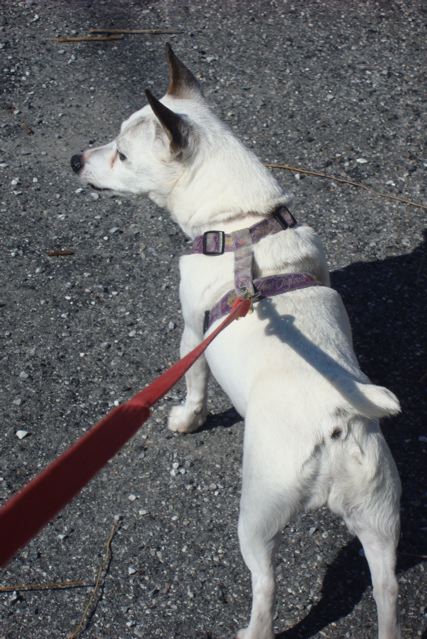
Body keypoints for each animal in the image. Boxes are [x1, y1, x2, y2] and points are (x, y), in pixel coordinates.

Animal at [72, 46, 402, 639]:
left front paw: (187, 419)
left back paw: (253, 629)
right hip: (381, 517)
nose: (74, 160)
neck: (243, 221)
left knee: (265, 586)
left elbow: (194, 384)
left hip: (259, 515)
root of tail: (337, 418)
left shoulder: (192, 332)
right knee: (386, 588)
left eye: (122, 156)